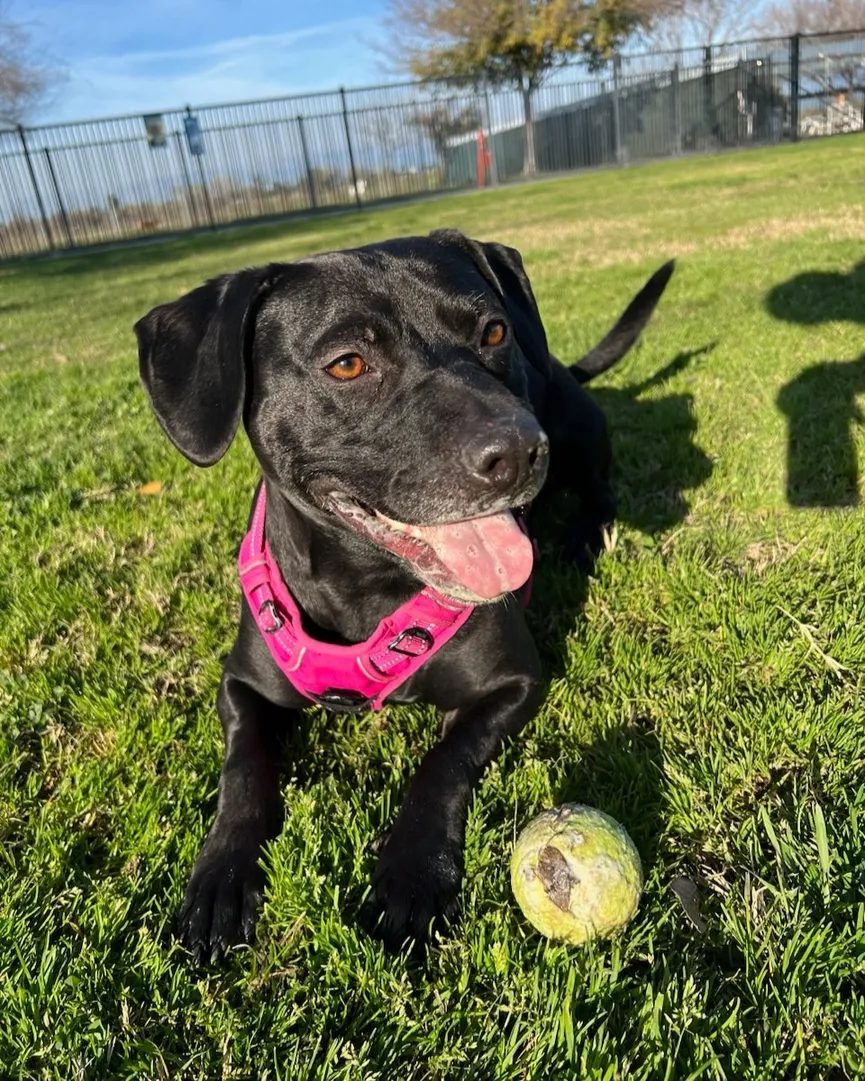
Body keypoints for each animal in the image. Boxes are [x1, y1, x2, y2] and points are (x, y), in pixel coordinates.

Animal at [136, 232, 674, 959]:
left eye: (494, 330)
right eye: (347, 364)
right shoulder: (241, 684)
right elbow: (243, 768)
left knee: (601, 493)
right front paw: (221, 873)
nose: (519, 451)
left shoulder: (513, 682)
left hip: (580, 434)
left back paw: (582, 537)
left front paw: (415, 869)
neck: (364, 587)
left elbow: (443, 762)